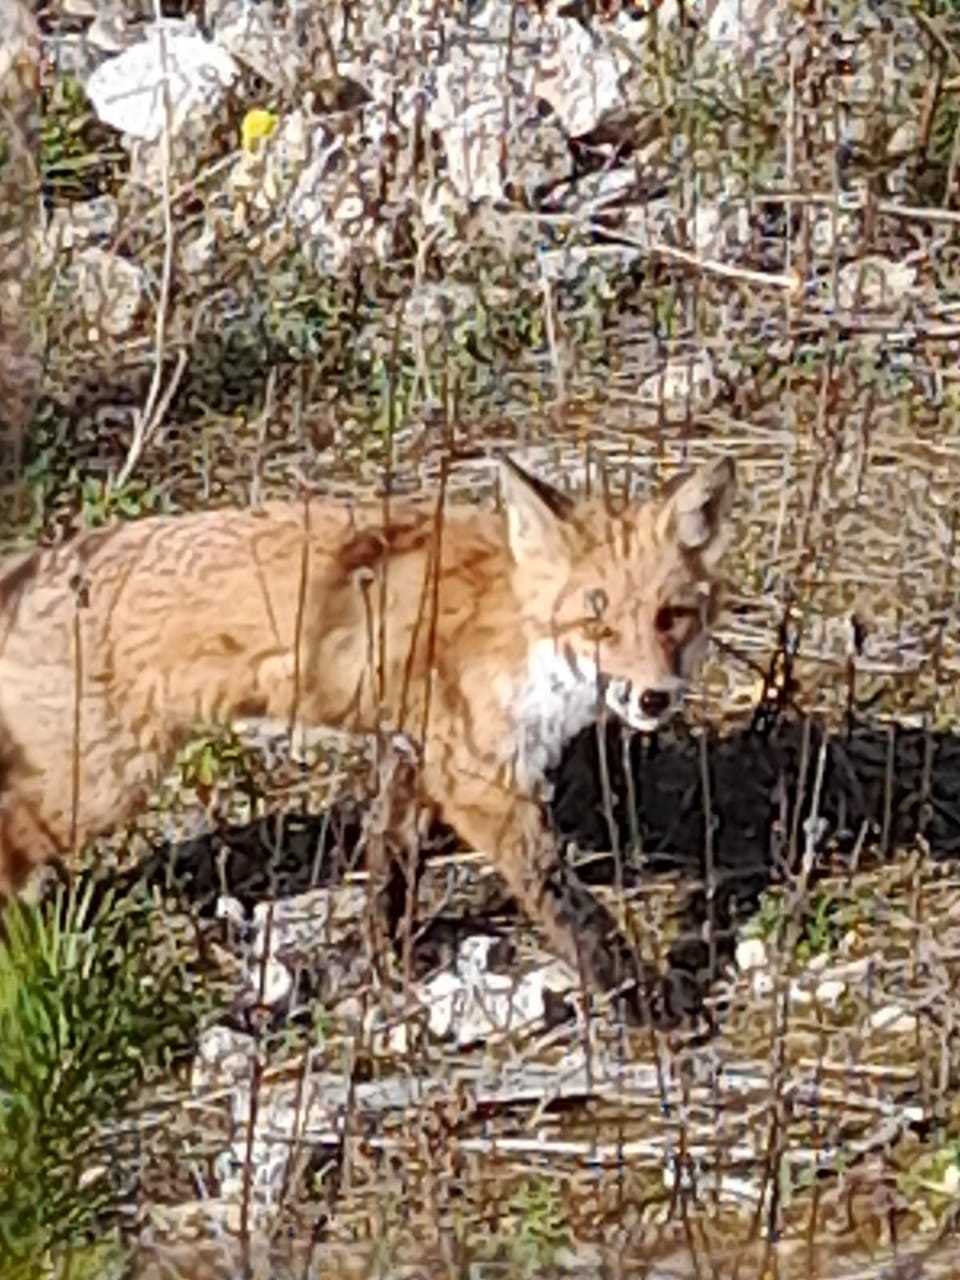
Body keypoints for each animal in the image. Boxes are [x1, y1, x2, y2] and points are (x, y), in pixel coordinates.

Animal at [0, 455, 737, 1024]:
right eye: (596, 622)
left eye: (672, 616)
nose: (654, 697)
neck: (521, 632)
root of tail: (35, 562)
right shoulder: (481, 781)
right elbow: (572, 909)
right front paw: (645, 1000)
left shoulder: (413, 750)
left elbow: (390, 866)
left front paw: (391, 957)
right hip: (99, 785)